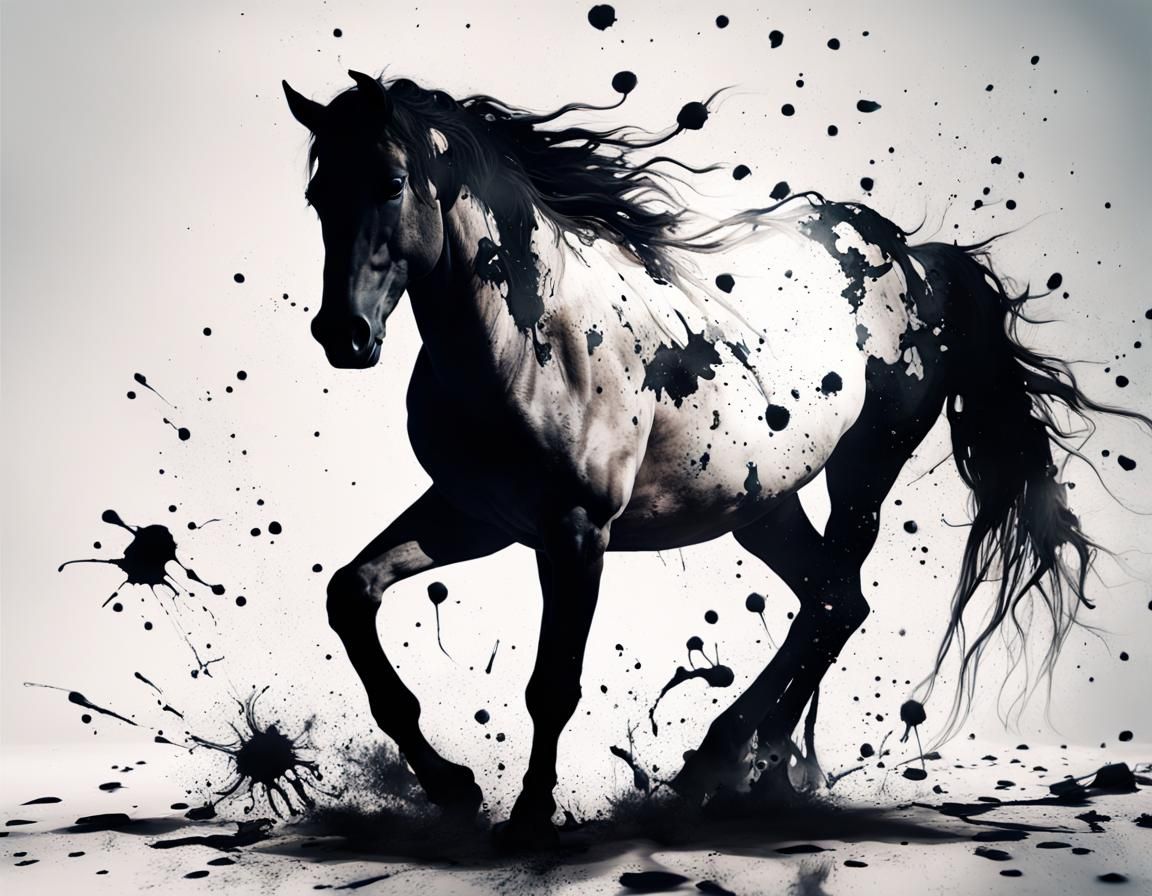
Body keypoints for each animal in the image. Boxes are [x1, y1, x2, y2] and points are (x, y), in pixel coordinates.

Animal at [281, 70, 1146, 847]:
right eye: (318, 195)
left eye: (392, 183)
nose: (342, 334)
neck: (527, 339)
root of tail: (917, 263)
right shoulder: (477, 514)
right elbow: (350, 594)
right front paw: (453, 788)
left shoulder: (575, 530)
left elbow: (552, 682)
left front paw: (528, 820)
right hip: (763, 505)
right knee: (835, 601)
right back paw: (740, 768)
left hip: (866, 468)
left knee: (832, 599)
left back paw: (721, 766)